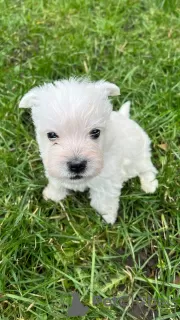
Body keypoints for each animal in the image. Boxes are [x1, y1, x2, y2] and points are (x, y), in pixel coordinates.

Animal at [19, 78, 158, 224]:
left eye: (95, 132)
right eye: (51, 135)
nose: (76, 165)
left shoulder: (107, 180)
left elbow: (103, 200)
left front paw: (107, 217)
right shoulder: (51, 165)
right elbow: (56, 182)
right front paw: (52, 196)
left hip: (140, 156)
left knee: (149, 169)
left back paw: (149, 185)